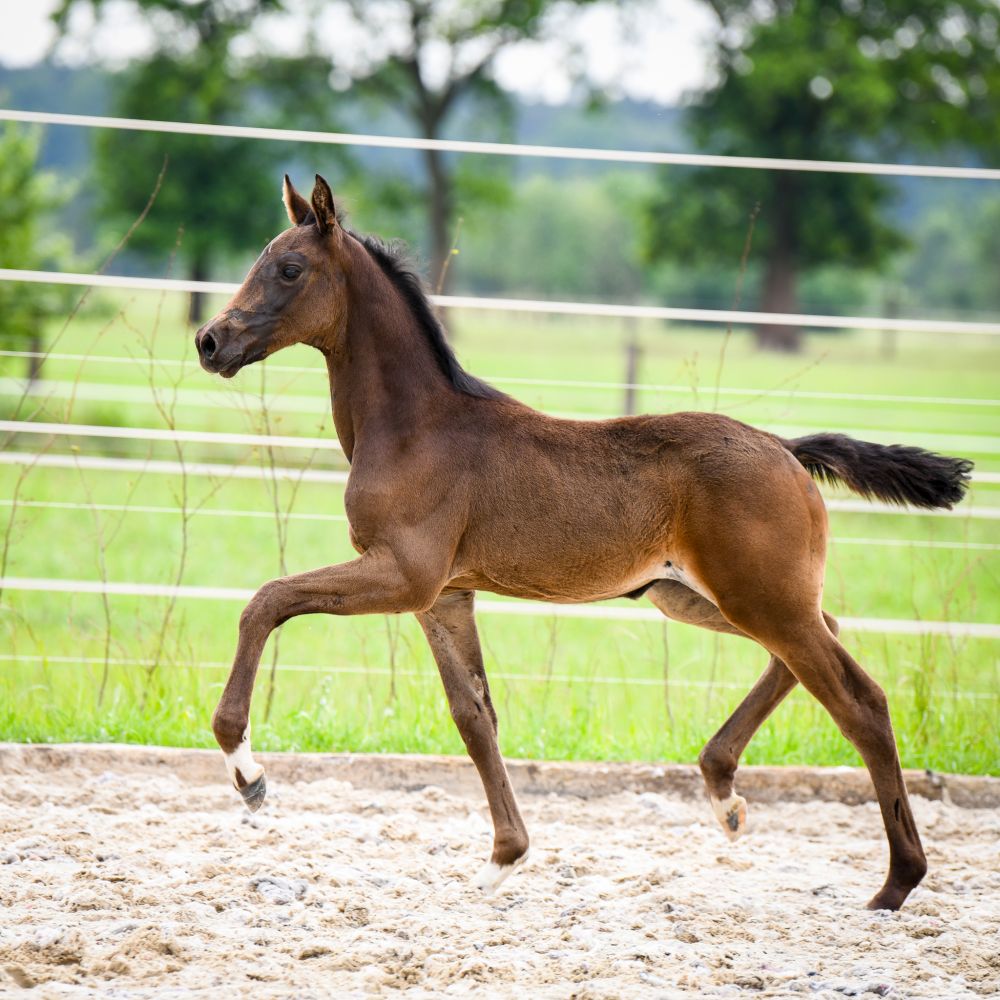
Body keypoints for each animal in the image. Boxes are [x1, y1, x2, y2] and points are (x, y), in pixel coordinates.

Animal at [194, 174, 971, 911]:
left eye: (289, 268)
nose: (209, 342)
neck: (417, 427)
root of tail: (785, 448)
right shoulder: (443, 597)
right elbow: (474, 717)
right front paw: (505, 859)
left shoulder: (403, 574)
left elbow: (266, 601)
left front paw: (248, 771)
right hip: (696, 596)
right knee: (825, 635)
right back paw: (724, 793)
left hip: (759, 599)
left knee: (861, 701)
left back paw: (896, 882)